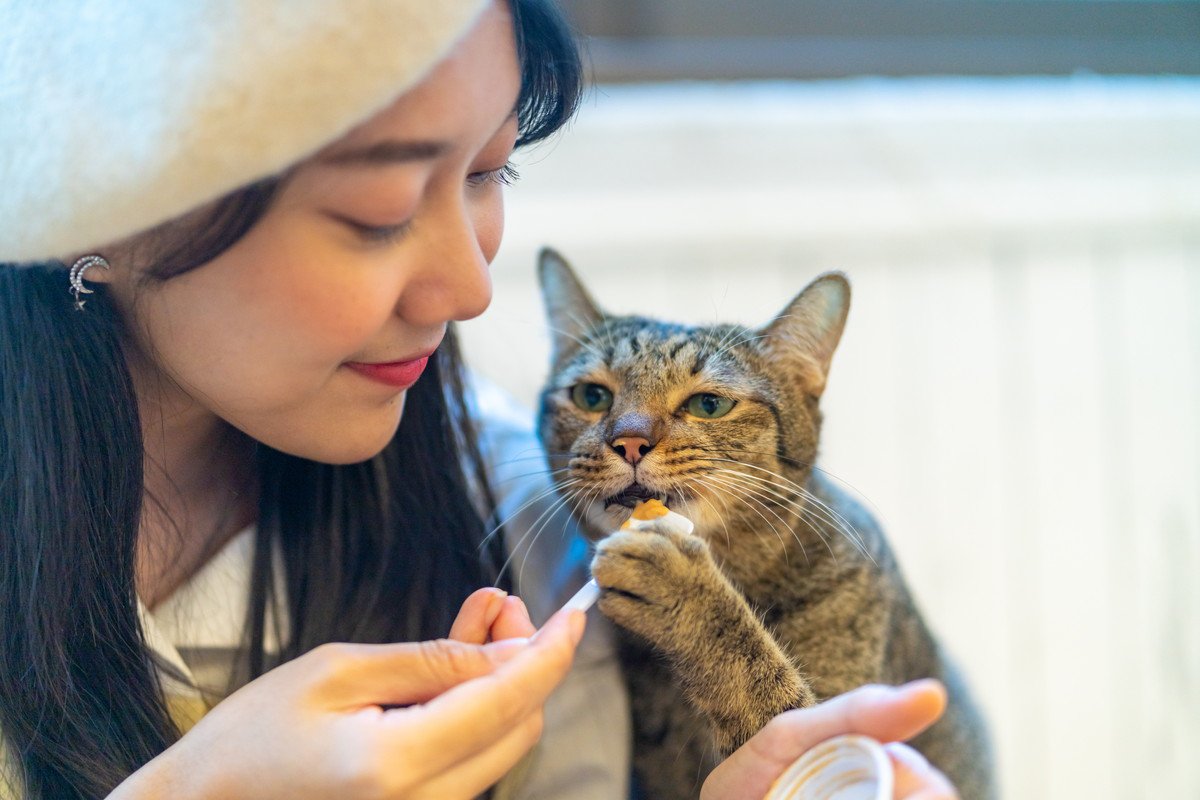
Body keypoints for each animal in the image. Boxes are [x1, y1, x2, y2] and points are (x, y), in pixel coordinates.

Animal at [535, 250, 993, 800]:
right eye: (592, 396)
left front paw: (688, 593)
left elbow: (765, 686)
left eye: (709, 404)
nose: (629, 441)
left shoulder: (839, 713)